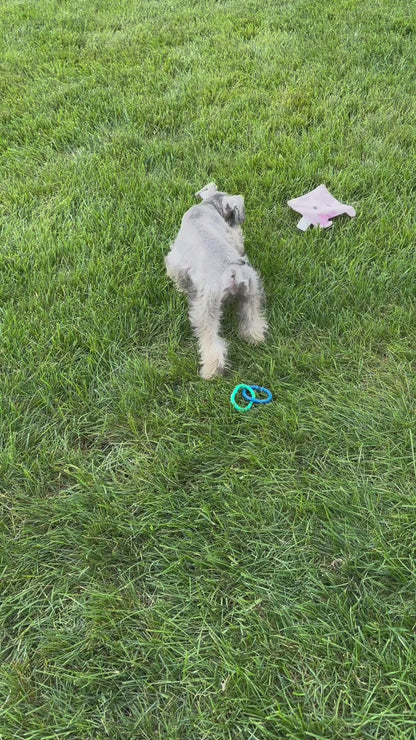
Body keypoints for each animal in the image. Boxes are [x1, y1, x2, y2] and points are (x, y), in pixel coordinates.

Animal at [165, 182, 266, 378]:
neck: (208, 206)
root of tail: (232, 271)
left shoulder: (176, 260)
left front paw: (181, 288)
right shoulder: (232, 237)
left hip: (205, 308)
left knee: (210, 339)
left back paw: (211, 370)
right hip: (251, 291)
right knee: (252, 317)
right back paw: (255, 337)